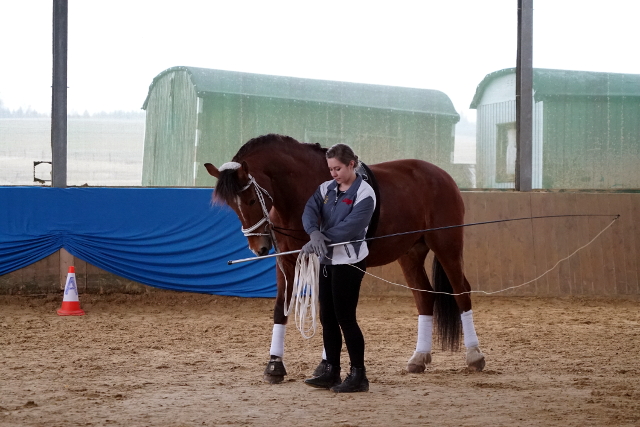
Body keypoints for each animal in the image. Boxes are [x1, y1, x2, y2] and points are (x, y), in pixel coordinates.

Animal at [204, 134, 485, 384]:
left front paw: (325, 365)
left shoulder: (322, 261)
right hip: (411, 254)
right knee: (425, 297)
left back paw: (474, 355)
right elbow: (281, 309)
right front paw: (275, 365)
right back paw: (419, 357)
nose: (259, 248)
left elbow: (328, 311)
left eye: (252, 199)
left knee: (461, 292)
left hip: (447, 244)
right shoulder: (286, 262)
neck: (300, 191)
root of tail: (442, 175)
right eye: (232, 205)